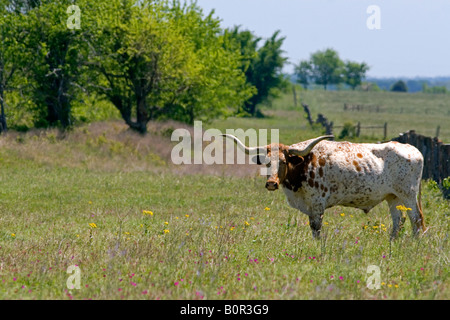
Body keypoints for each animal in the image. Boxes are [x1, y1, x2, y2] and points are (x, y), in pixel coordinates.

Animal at [221, 134, 426, 239]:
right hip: (393, 197)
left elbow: (316, 228)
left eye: (283, 161)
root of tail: (413, 149)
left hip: (408, 194)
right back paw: (392, 242)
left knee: (416, 219)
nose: (271, 183)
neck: (303, 164)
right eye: (266, 162)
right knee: (398, 220)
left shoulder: (317, 204)